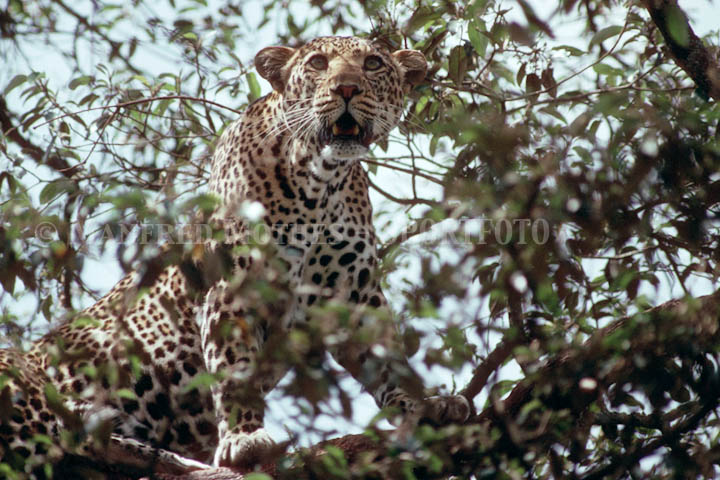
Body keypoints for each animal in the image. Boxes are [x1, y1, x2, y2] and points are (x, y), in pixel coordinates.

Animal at [0, 36, 470, 477]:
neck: (320, 183)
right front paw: (245, 439)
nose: (347, 88)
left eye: (373, 63)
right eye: (318, 63)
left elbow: (389, 361)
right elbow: (234, 370)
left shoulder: (354, 295)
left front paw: (423, 406)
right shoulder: (233, 289)